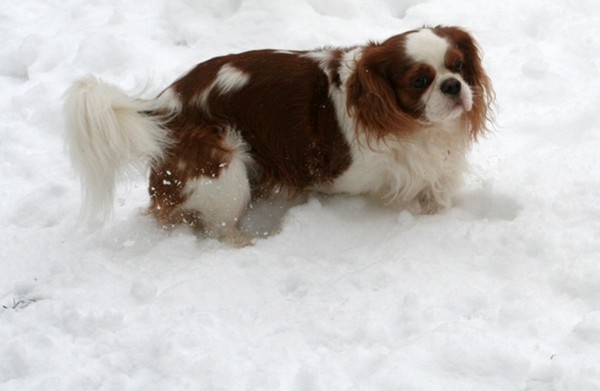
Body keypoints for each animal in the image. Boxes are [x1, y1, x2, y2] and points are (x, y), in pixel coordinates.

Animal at [65, 26, 494, 247]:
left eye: (458, 66)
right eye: (419, 81)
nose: (453, 86)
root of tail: (161, 109)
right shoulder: (352, 173)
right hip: (223, 169)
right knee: (219, 229)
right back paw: (250, 241)